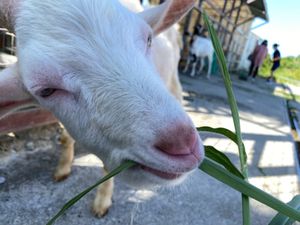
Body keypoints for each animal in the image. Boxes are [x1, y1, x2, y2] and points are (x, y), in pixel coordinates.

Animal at [0, 0, 204, 218]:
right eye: (47, 90)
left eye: (149, 39)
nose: (183, 146)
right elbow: (66, 137)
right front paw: (63, 168)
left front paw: (102, 202)